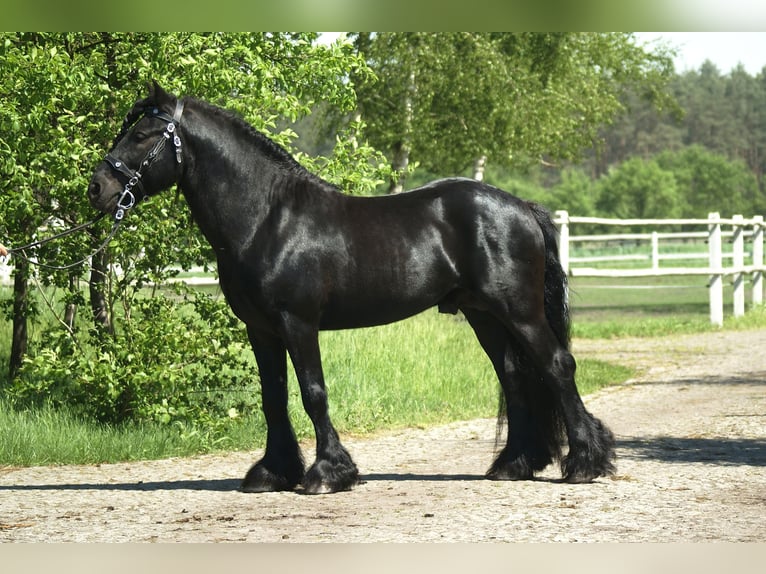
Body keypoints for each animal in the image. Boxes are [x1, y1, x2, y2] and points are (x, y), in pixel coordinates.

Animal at [88, 83, 616, 498]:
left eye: (141, 135)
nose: (97, 188)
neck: (267, 219)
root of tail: (521, 207)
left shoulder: (298, 323)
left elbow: (313, 393)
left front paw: (328, 473)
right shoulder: (261, 329)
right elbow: (273, 396)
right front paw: (272, 473)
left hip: (519, 310)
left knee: (556, 366)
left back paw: (585, 464)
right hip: (484, 314)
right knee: (513, 376)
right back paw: (513, 465)